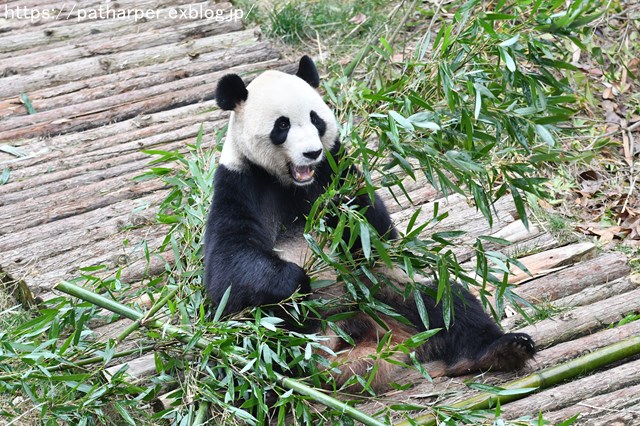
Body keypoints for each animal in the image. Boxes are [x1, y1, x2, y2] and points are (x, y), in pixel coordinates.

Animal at [205, 56, 536, 392]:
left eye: (315, 120)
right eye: (282, 125)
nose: (312, 152)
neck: (292, 184)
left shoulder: (336, 169)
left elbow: (376, 234)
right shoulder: (240, 184)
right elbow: (228, 268)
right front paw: (296, 280)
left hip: (386, 290)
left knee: (443, 300)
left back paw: (501, 350)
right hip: (271, 336)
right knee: (260, 344)